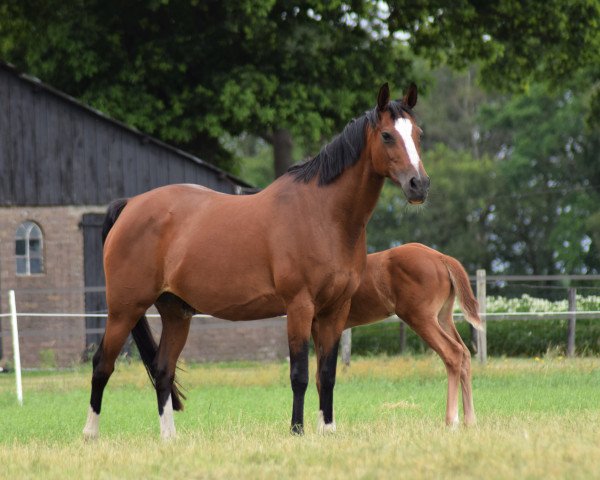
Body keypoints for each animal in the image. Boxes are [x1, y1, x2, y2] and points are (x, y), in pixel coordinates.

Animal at [82, 82, 428, 438]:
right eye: (387, 135)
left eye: (418, 134)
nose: (419, 185)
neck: (322, 214)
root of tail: (130, 205)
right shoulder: (299, 306)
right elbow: (300, 375)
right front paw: (297, 431)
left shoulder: (335, 310)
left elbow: (327, 375)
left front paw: (328, 430)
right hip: (124, 309)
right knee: (102, 364)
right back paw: (90, 434)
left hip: (176, 313)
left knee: (162, 369)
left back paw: (169, 438)